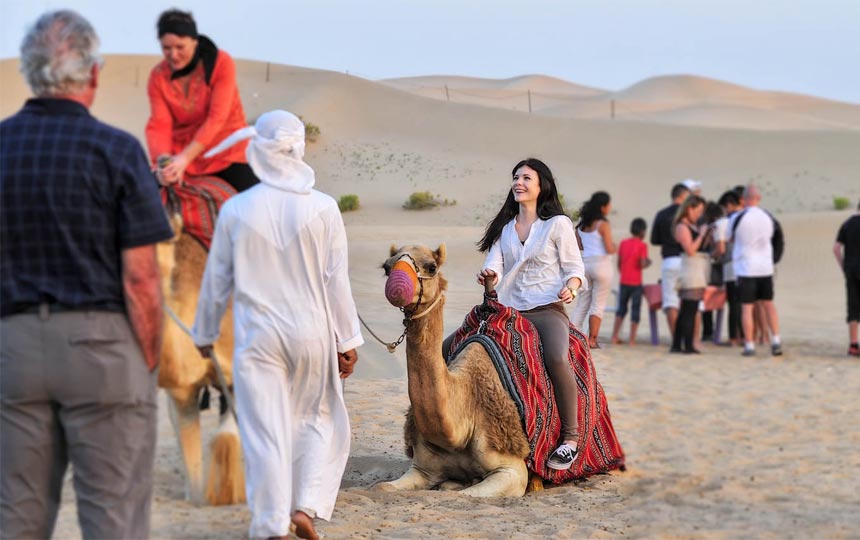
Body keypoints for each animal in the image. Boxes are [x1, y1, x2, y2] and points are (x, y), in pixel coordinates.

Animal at [374, 244, 535, 497]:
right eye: (386, 267)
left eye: (432, 267)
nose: (397, 287)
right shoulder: (422, 468)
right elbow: (381, 487)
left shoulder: (513, 469)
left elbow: (463, 495)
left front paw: (457, 485)